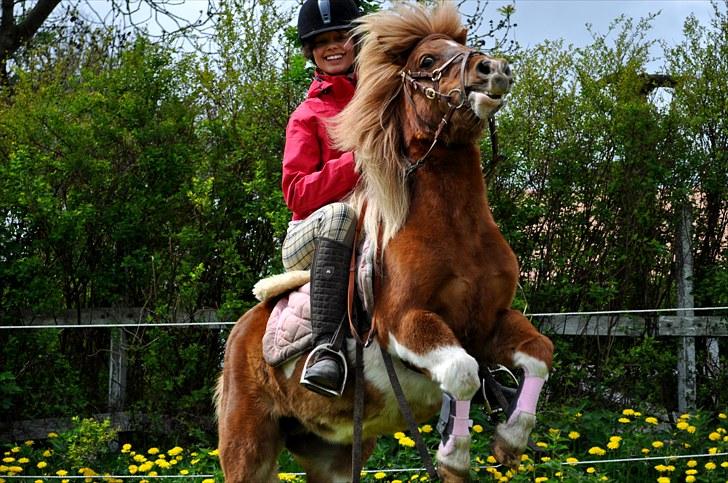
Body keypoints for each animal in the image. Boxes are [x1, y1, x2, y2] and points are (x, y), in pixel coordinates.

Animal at [216, 1, 552, 482]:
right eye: (427, 60)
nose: (494, 70)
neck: (459, 231)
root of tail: (242, 330)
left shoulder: (490, 322)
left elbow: (539, 353)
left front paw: (509, 439)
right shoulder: (404, 322)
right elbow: (463, 372)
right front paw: (453, 455)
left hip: (331, 455)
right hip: (248, 449)